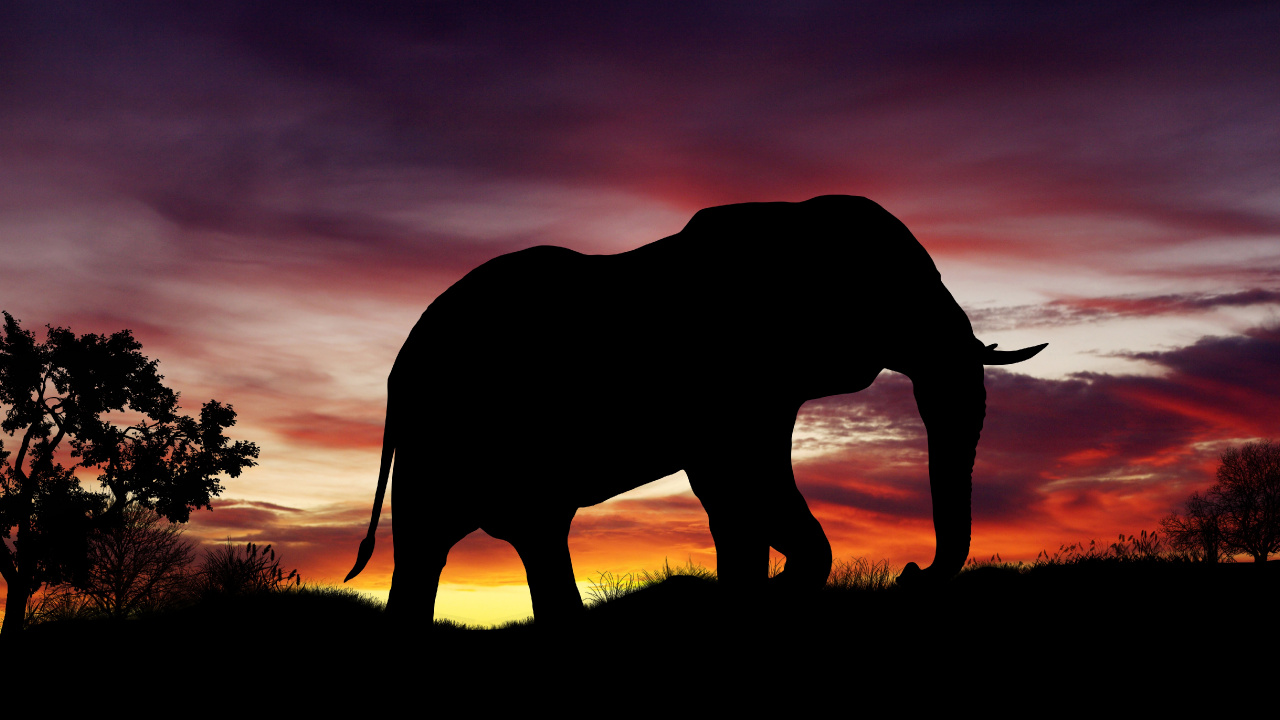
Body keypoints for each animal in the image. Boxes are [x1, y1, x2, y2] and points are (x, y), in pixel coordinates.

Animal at [345, 194, 1044, 624]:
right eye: (896, 287)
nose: (908, 572)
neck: (793, 217)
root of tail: (399, 364)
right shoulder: (726, 378)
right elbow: (735, 484)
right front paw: (766, 591)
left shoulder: (764, 388)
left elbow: (743, 491)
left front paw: (760, 591)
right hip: (444, 428)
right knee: (435, 542)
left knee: (527, 533)